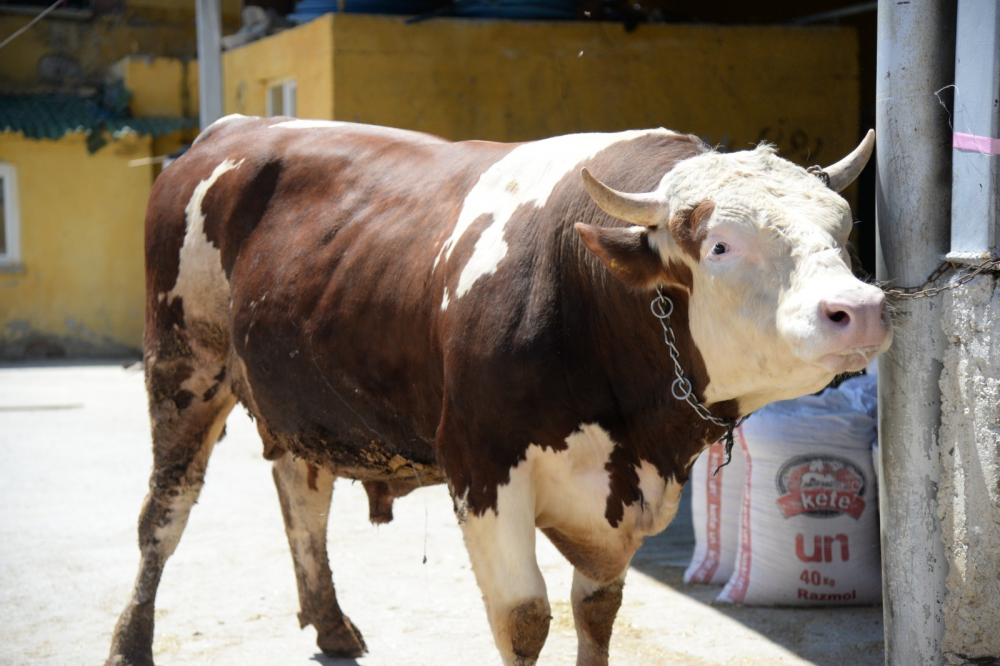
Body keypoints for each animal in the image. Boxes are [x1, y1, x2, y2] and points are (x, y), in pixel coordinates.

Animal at [107, 116, 892, 664]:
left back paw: (329, 623)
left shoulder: (616, 498)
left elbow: (597, 610)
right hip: (184, 364)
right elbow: (524, 619)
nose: (859, 308)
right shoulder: (482, 468)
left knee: (303, 498)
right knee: (163, 512)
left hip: (298, 396)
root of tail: (229, 130)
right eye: (721, 245)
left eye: (844, 229)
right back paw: (130, 642)